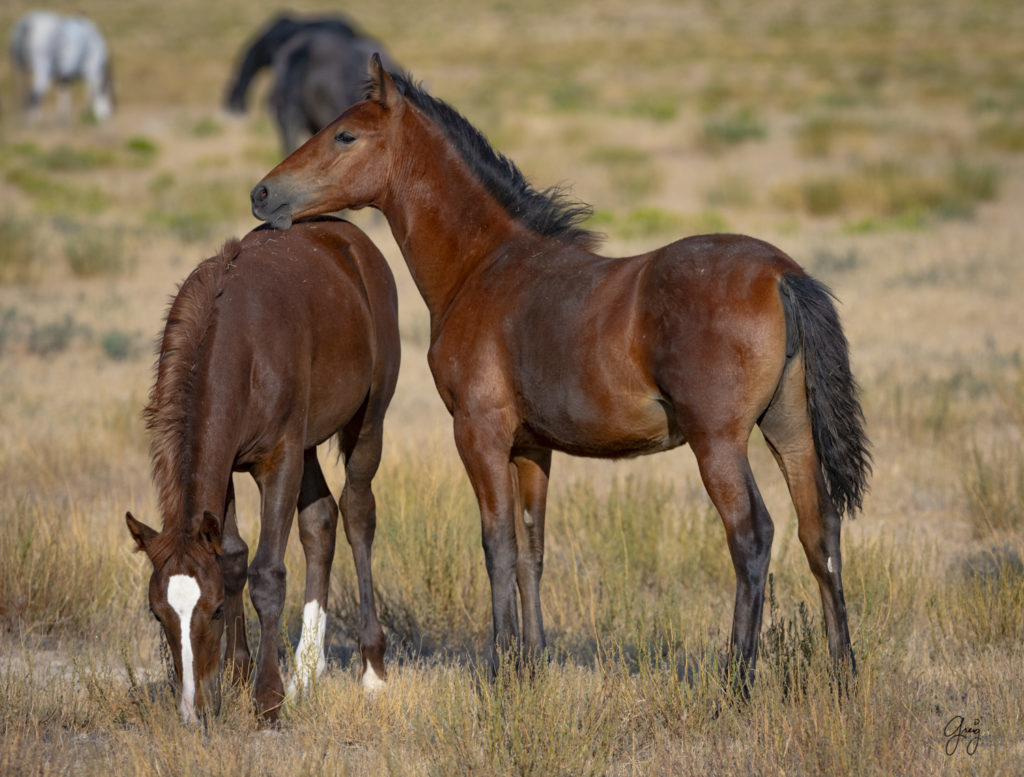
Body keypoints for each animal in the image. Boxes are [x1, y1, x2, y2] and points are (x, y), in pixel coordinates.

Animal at [123, 217, 399, 724]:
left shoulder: (279, 458)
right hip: (308, 445)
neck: (238, 345)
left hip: (367, 422)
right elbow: (233, 559)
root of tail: (351, 240)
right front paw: (236, 676)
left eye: (213, 610)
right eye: (158, 613)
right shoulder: (231, 465)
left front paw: (268, 697)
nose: (191, 711)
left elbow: (267, 573)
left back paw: (372, 671)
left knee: (357, 514)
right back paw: (307, 673)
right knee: (320, 522)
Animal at [249, 60, 872, 692]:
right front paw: (532, 663)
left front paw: (499, 669)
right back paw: (842, 674)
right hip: (790, 429)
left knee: (752, 538)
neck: (483, 267)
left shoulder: (479, 433)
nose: (263, 193)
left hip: (718, 442)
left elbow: (497, 543)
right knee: (820, 532)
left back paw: (736, 682)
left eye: (345, 135)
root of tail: (782, 275)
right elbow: (532, 548)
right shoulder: (532, 448)